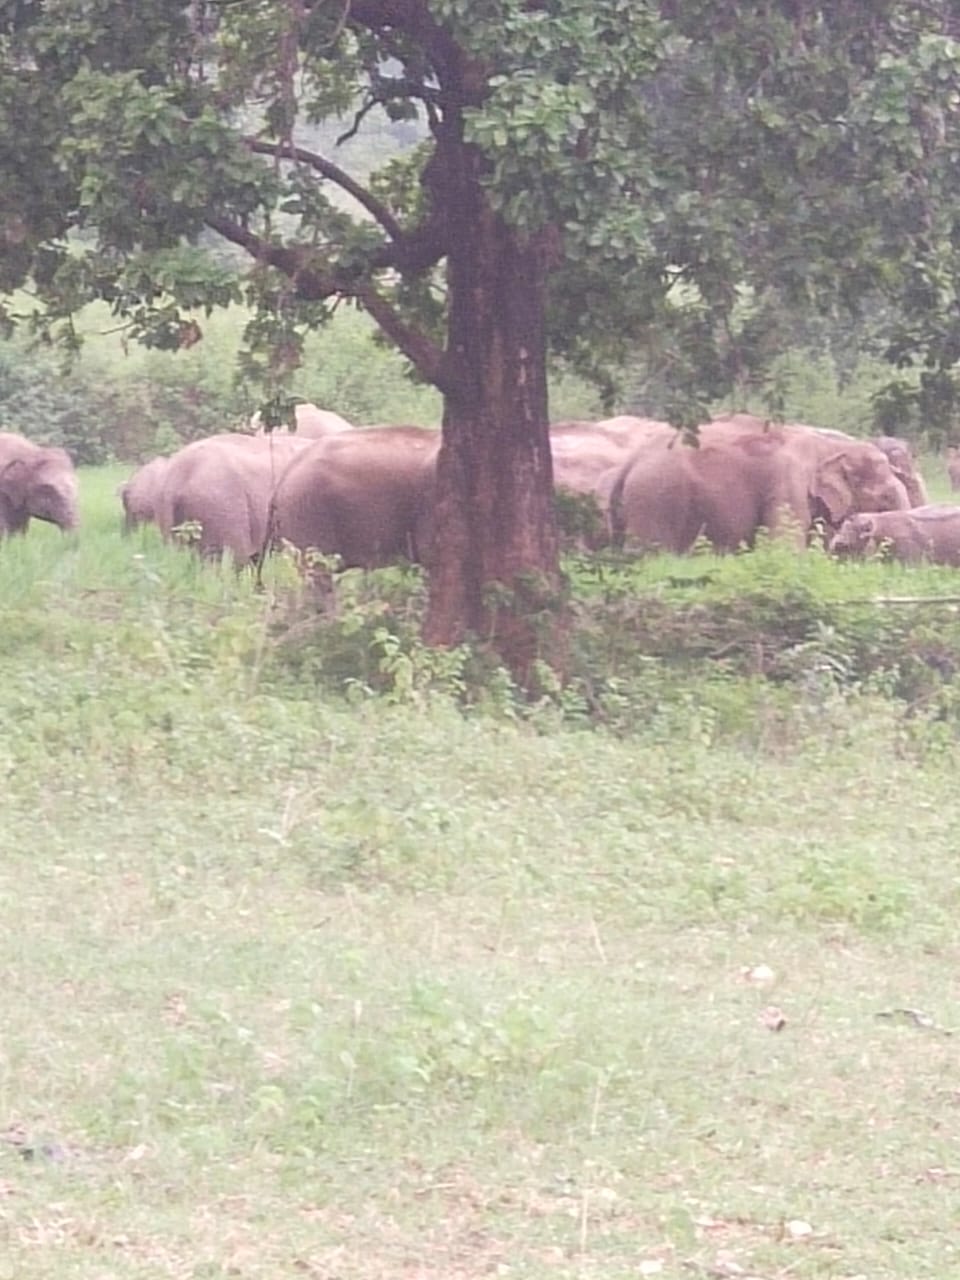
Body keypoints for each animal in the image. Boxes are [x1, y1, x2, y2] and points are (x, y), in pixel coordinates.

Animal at [609, 414, 911, 555]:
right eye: (885, 498)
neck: (826, 445)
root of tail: (630, 463)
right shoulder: (787, 484)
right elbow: (784, 546)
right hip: (655, 500)